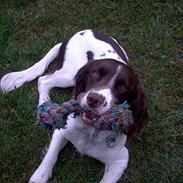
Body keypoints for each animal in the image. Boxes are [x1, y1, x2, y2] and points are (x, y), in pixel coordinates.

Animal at [0, 29, 147, 182]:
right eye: (95, 73)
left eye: (123, 86)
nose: (93, 99)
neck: (90, 131)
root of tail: (82, 31)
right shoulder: (62, 130)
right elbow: (50, 156)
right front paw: (39, 177)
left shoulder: (120, 159)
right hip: (70, 74)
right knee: (44, 80)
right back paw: (44, 106)